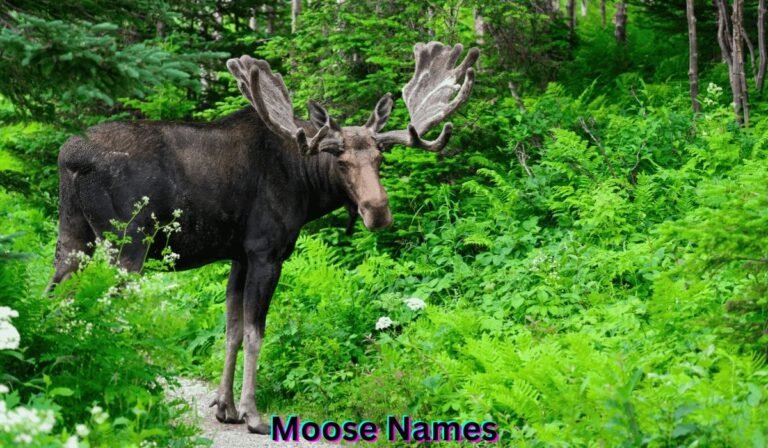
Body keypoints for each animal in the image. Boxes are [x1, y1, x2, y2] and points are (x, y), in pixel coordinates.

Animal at [50, 41, 478, 433]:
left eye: (380, 158)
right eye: (340, 161)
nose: (378, 211)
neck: (306, 187)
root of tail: (71, 158)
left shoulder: (239, 254)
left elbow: (232, 329)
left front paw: (225, 407)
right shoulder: (266, 251)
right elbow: (256, 333)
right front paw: (252, 413)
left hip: (72, 236)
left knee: (56, 296)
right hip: (126, 244)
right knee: (104, 308)